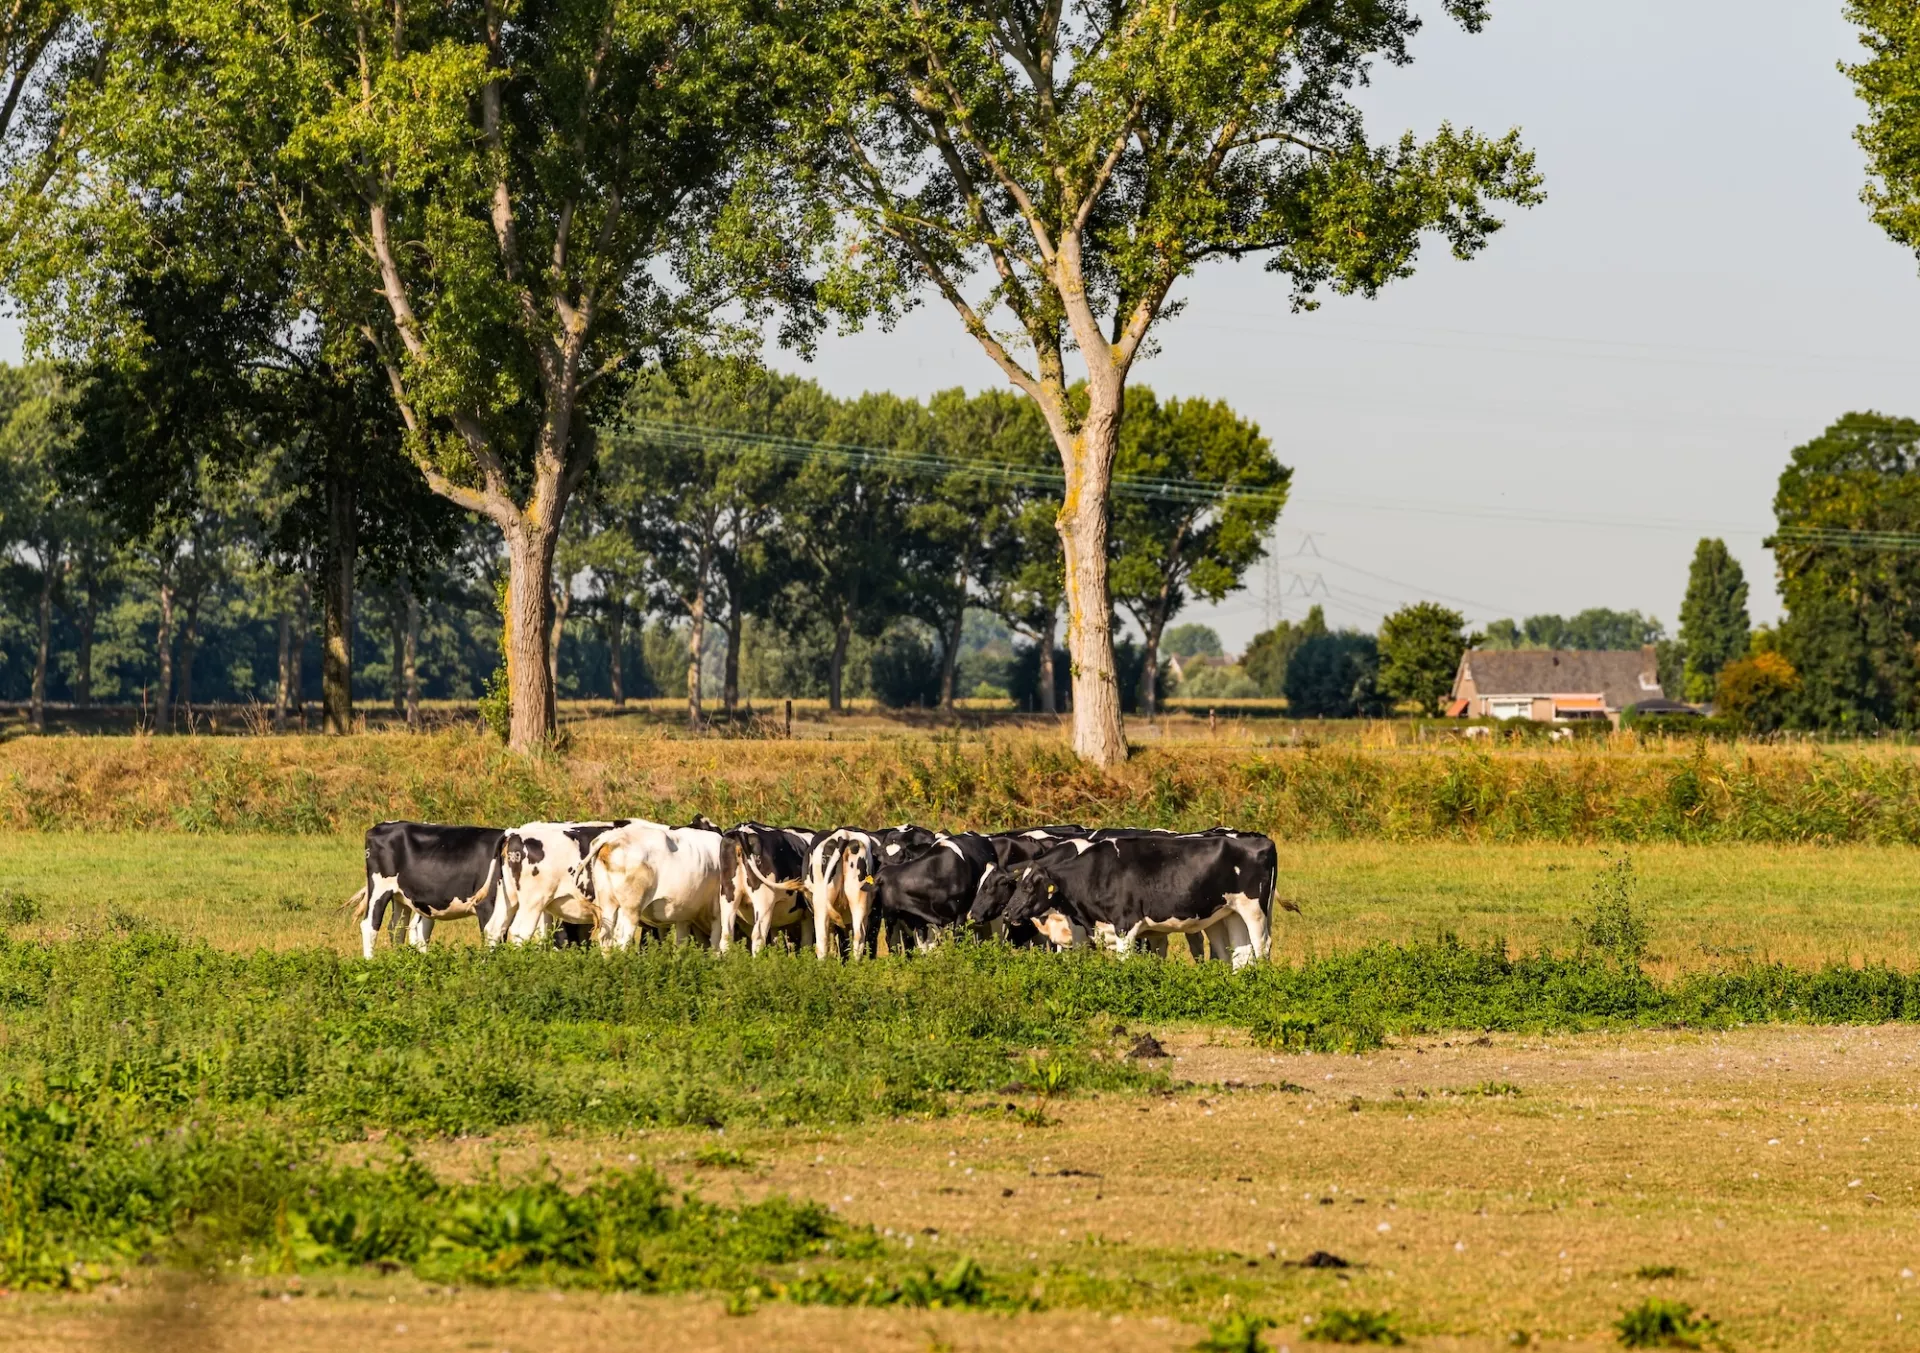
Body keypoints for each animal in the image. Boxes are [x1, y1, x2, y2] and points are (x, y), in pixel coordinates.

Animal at [354, 821, 506, 960]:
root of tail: (380, 826)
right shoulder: (486, 906)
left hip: (401, 897)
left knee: (398, 928)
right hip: (379, 888)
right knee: (370, 925)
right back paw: (370, 962)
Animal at [566, 819, 729, 949]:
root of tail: (612, 837)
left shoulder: (684, 917)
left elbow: (682, 945)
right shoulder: (716, 913)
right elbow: (716, 943)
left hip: (607, 903)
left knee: (606, 938)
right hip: (631, 908)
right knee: (622, 939)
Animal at [720, 822, 819, 954]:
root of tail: (743, 829)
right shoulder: (806, 914)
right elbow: (806, 942)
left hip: (728, 896)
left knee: (726, 936)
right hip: (764, 900)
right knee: (758, 935)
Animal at [993, 831, 1286, 969]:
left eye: (1029, 887)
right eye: (1017, 885)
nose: (1007, 914)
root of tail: (1260, 839)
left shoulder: (1126, 924)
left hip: (1255, 910)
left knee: (1262, 946)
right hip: (1231, 912)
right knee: (1242, 952)